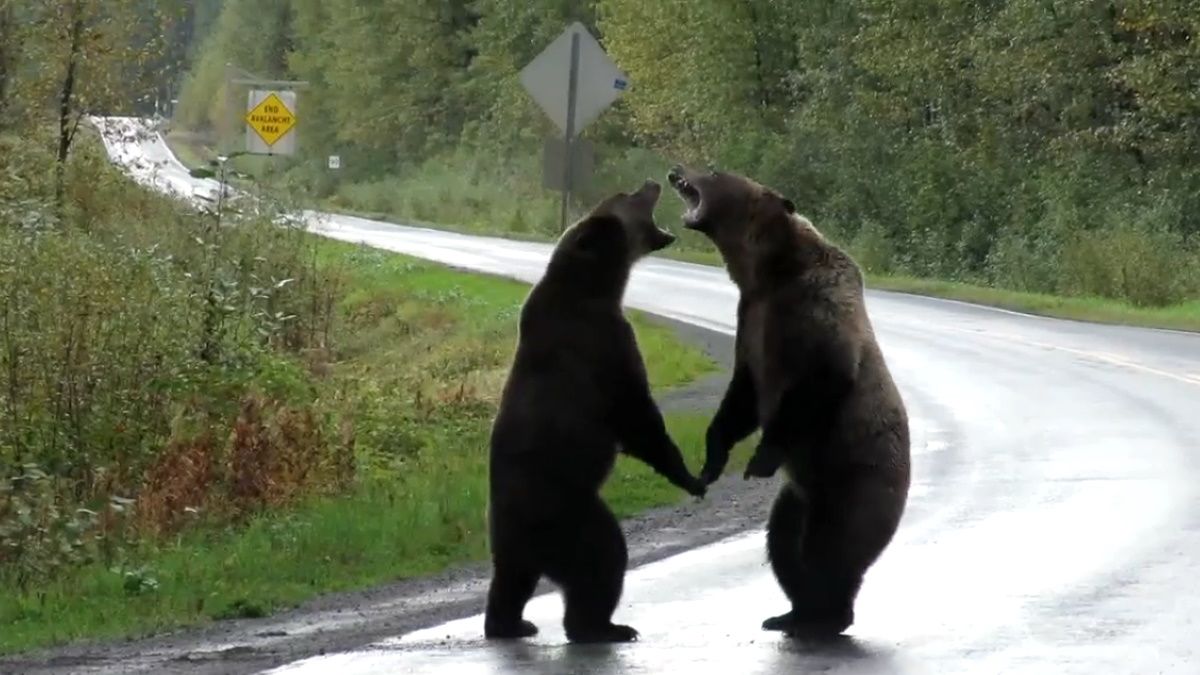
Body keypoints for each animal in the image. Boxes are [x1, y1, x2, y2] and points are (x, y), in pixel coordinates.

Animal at [484, 177, 705, 638]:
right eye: (627, 196)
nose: (653, 181)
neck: (597, 286)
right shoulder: (605, 343)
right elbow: (637, 416)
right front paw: (690, 476)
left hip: (510, 538)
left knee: (511, 580)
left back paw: (512, 623)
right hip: (569, 510)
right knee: (603, 557)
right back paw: (603, 626)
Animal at [667, 164, 907, 634]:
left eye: (714, 171)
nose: (676, 170)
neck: (767, 271)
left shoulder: (814, 311)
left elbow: (822, 379)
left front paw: (760, 457)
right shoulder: (750, 319)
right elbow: (740, 397)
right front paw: (712, 460)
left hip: (854, 481)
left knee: (829, 547)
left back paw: (825, 615)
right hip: (797, 495)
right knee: (782, 539)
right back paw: (790, 612)